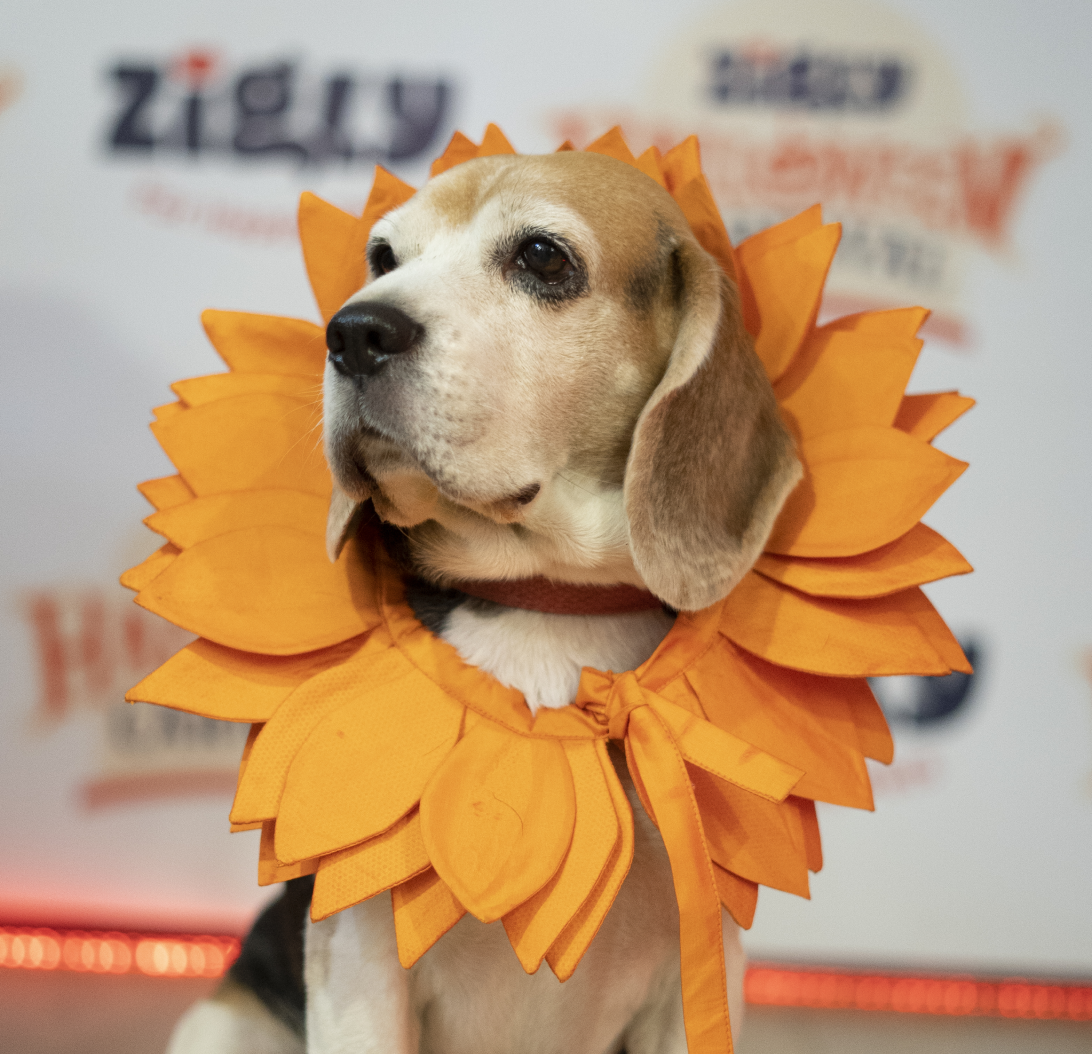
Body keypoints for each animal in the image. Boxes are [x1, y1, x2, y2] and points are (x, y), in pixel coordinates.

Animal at [168, 148, 803, 1052]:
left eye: (542, 257)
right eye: (382, 259)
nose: (353, 333)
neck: (544, 604)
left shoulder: (696, 972)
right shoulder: (362, 956)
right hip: (224, 1023)